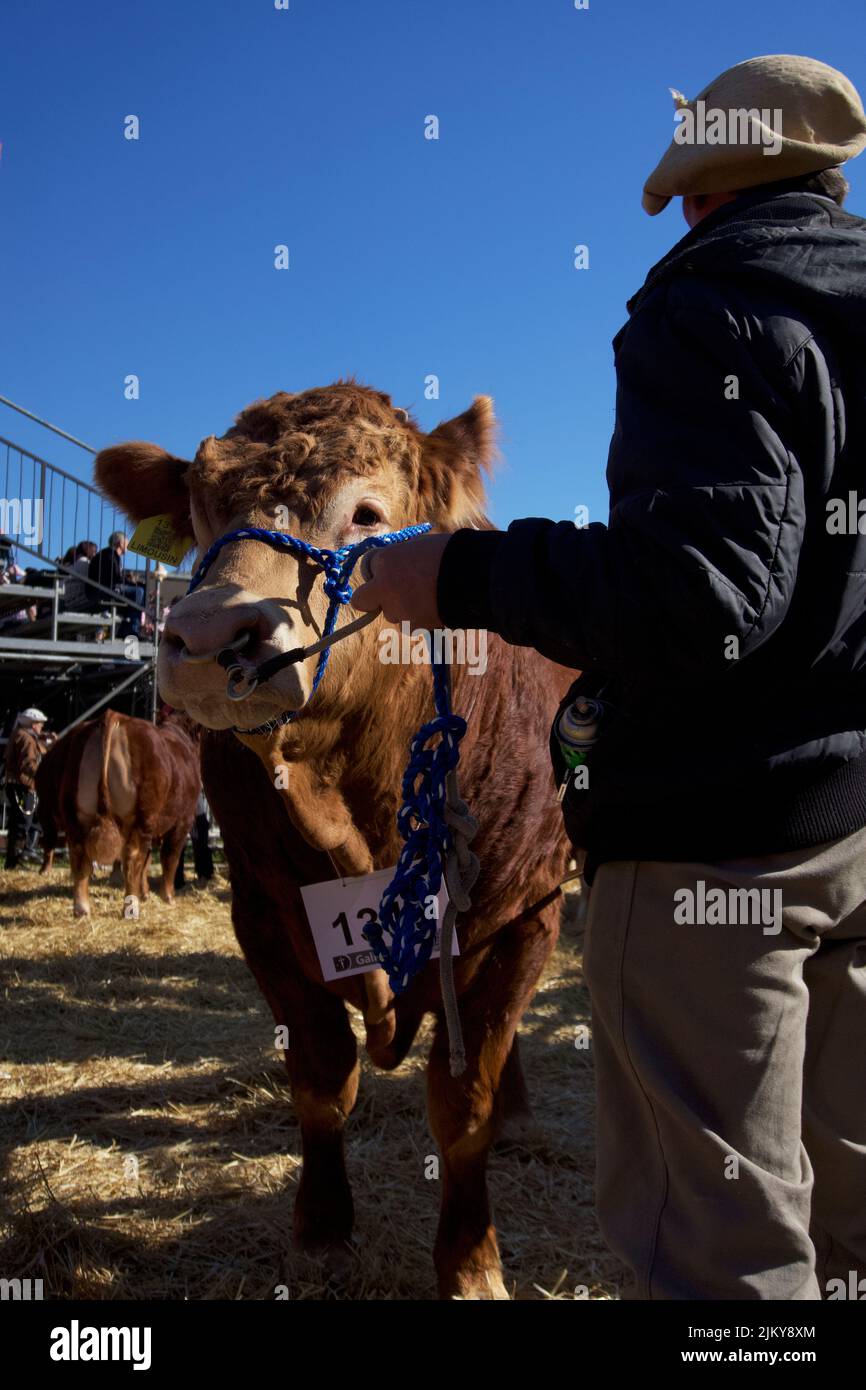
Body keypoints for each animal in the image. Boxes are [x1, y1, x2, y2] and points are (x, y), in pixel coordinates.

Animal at [35, 711, 200, 917]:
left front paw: (146, 893)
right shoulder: (183, 821)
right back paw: (131, 908)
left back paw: (82, 909)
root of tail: (113, 716)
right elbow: (170, 858)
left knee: (79, 856)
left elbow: (148, 861)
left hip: (75, 815)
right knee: (132, 857)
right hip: (141, 817)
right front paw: (167, 897)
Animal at [94, 386, 572, 1295]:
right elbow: (321, 1079)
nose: (209, 638)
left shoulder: (526, 913)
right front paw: (320, 1230)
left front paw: (472, 1261)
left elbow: (464, 1102)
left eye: (367, 514)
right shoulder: (264, 912)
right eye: (201, 511)